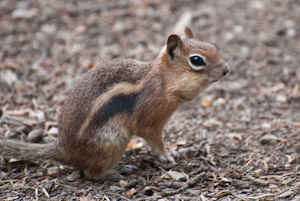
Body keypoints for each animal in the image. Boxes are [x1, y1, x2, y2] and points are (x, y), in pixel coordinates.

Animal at [0, 27, 229, 181]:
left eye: (213, 47)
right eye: (197, 60)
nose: (226, 69)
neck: (162, 81)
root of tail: (62, 150)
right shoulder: (150, 119)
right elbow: (153, 139)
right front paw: (167, 156)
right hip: (112, 142)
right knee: (91, 173)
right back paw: (116, 172)